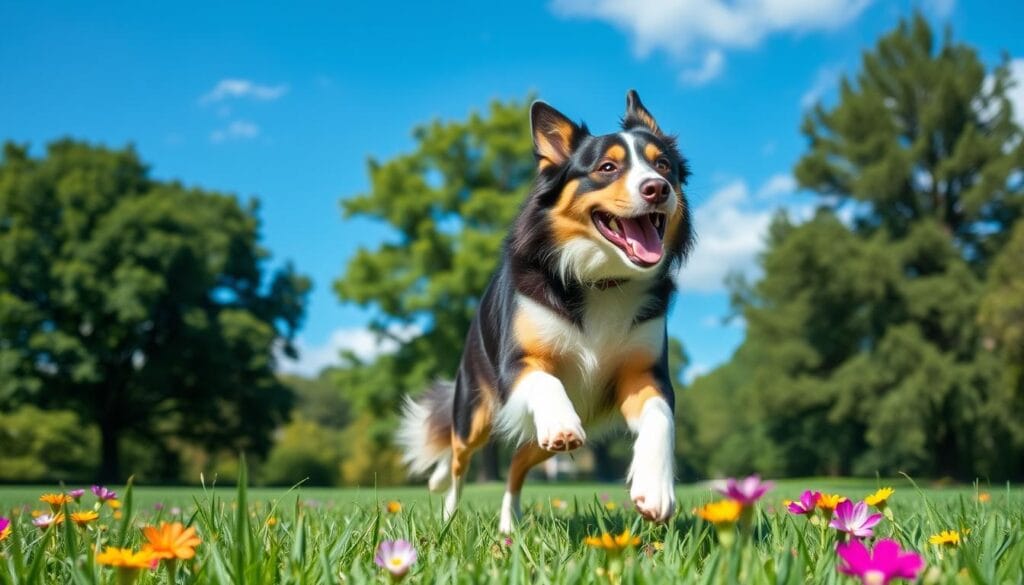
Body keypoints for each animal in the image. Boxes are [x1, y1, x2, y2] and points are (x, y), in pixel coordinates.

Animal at [395, 89, 692, 532]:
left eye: (663, 166)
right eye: (607, 167)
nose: (657, 188)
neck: (602, 280)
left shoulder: (644, 373)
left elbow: (660, 417)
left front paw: (654, 488)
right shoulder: (516, 364)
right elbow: (546, 380)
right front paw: (561, 421)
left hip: (542, 442)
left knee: (516, 466)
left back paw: (509, 522)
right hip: (474, 412)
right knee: (459, 461)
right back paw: (446, 509)